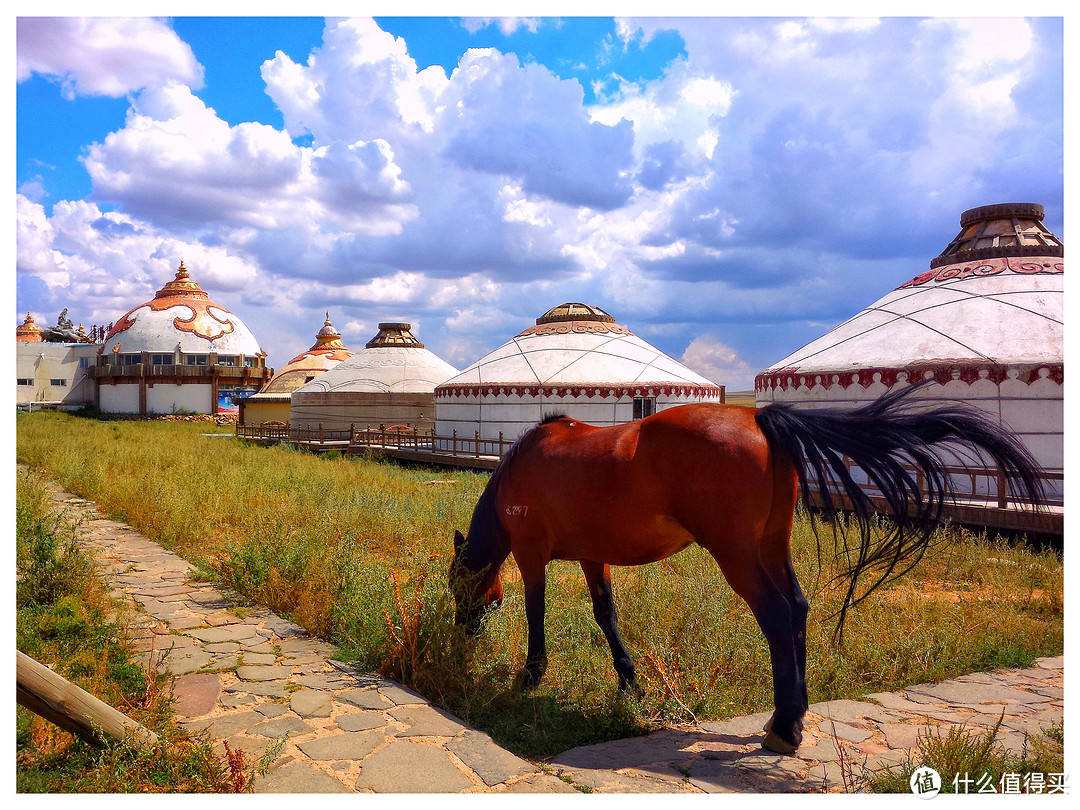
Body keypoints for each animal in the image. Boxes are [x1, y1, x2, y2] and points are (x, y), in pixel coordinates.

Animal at [449, 386, 1045, 756]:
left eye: (460, 586)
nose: (462, 633)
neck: (521, 468)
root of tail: (759, 419)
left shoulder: (531, 554)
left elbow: (536, 611)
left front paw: (530, 675)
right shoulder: (594, 555)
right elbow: (606, 615)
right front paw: (630, 682)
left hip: (736, 554)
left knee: (777, 615)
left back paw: (784, 728)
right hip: (770, 546)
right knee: (798, 609)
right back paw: (793, 716)